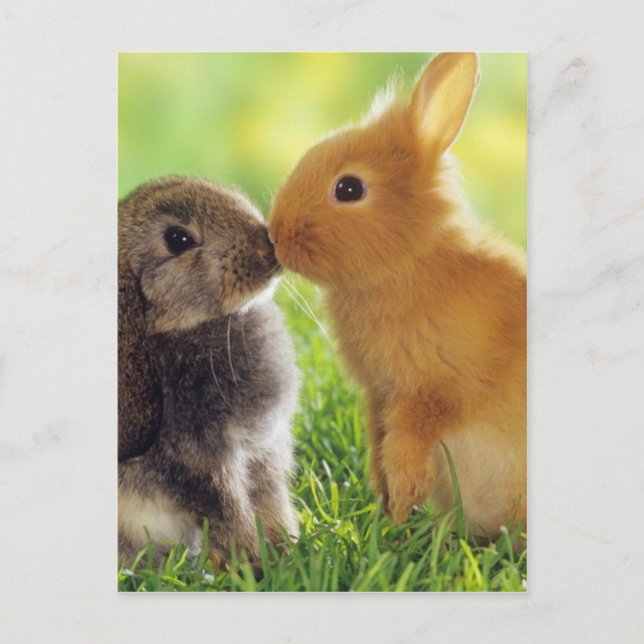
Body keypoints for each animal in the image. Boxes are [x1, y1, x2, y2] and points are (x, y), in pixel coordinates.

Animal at [118, 176, 299, 566]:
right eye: (178, 239)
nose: (267, 248)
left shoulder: (262, 452)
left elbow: (271, 503)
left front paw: (291, 549)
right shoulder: (202, 464)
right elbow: (229, 514)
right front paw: (252, 564)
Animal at [268, 52, 526, 539]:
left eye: (349, 188)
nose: (275, 236)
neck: (406, 263)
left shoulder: (434, 390)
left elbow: (408, 439)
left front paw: (404, 500)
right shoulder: (379, 395)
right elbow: (380, 442)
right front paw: (389, 508)